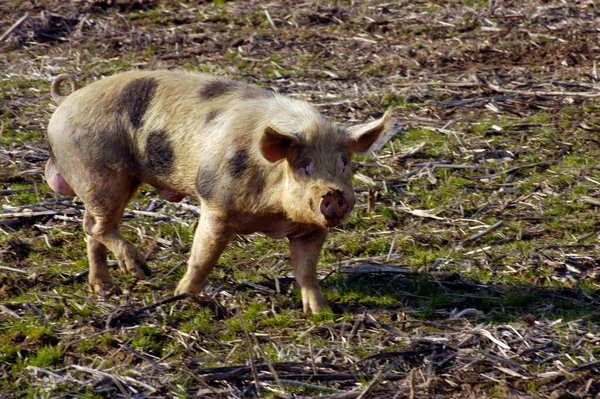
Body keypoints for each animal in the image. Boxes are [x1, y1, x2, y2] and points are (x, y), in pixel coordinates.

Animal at [47, 70, 394, 314]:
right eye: (303, 165)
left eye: (344, 161)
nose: (333, 194)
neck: (272, 214)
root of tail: (66, 101)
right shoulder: (216, 204)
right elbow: (203, 256)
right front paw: (183, 296)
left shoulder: (310, 228)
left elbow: (306, 270)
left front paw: (320, 312)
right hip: (100, 173)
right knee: (96, 226)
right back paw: (141, 271)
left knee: (91, 231)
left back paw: (104, 290)